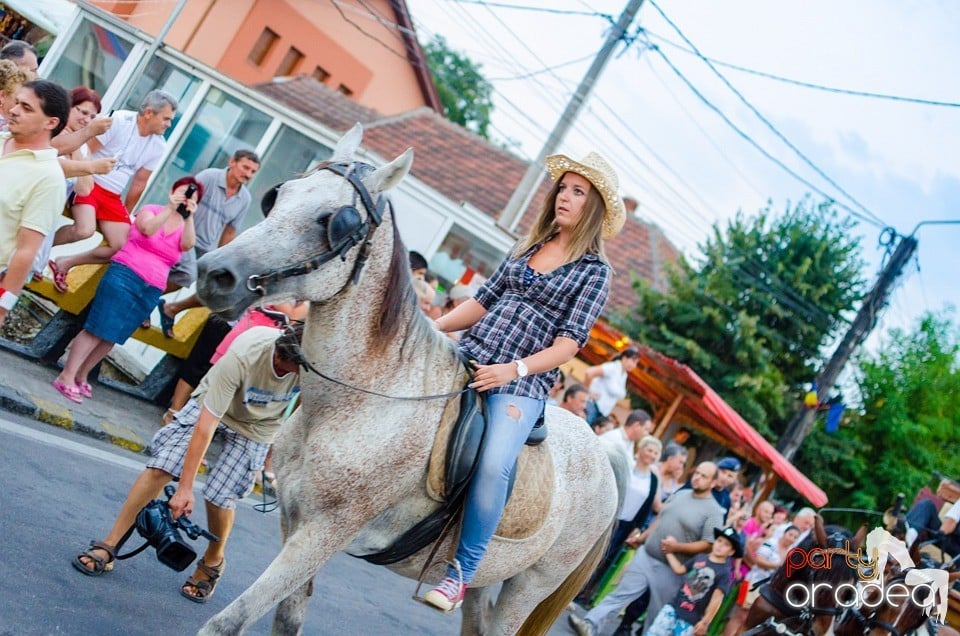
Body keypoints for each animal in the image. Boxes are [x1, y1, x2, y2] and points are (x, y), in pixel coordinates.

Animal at [195, 125, 628, 636]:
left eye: (332, 220)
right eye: (277, 197)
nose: (214, 273)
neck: (364, 399)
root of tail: (603, 457)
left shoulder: (324, 533)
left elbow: (227, 622)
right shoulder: (292, 519)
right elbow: (286, 619)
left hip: (528, 585)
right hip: (489, 579)